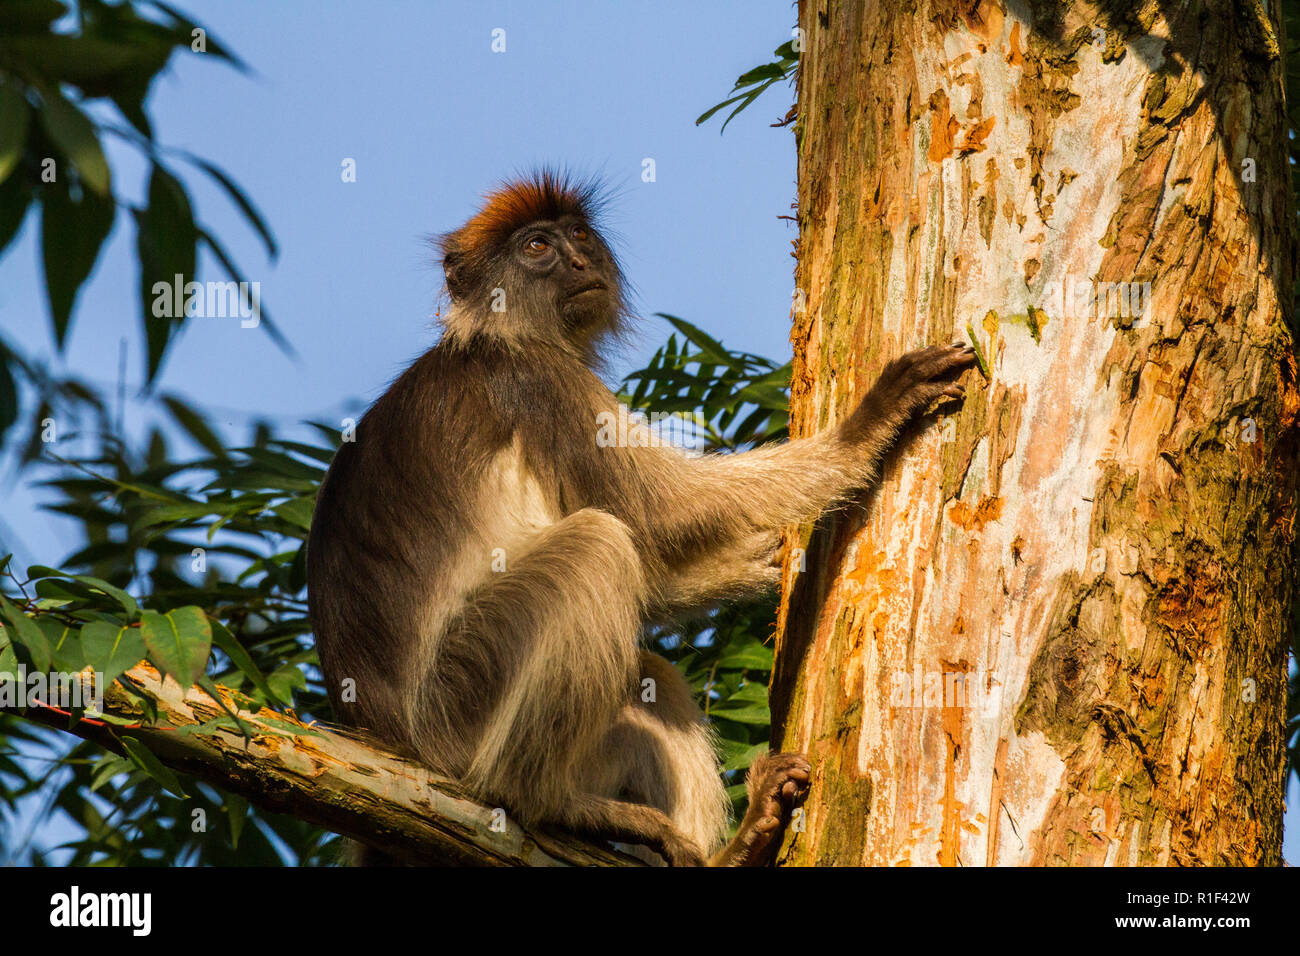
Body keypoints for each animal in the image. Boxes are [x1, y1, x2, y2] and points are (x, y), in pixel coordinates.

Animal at [306, 171, 977, 868]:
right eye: (537, 247)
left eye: (578, 236)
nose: (578, 263)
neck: (495, 334)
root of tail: (391, 737)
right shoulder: (538, 381)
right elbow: (659, 515)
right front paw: (872, 420)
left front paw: (766, 566)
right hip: (459, 706)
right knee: (595, 546)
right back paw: (542, 800)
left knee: (648, 670)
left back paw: (738, 847)